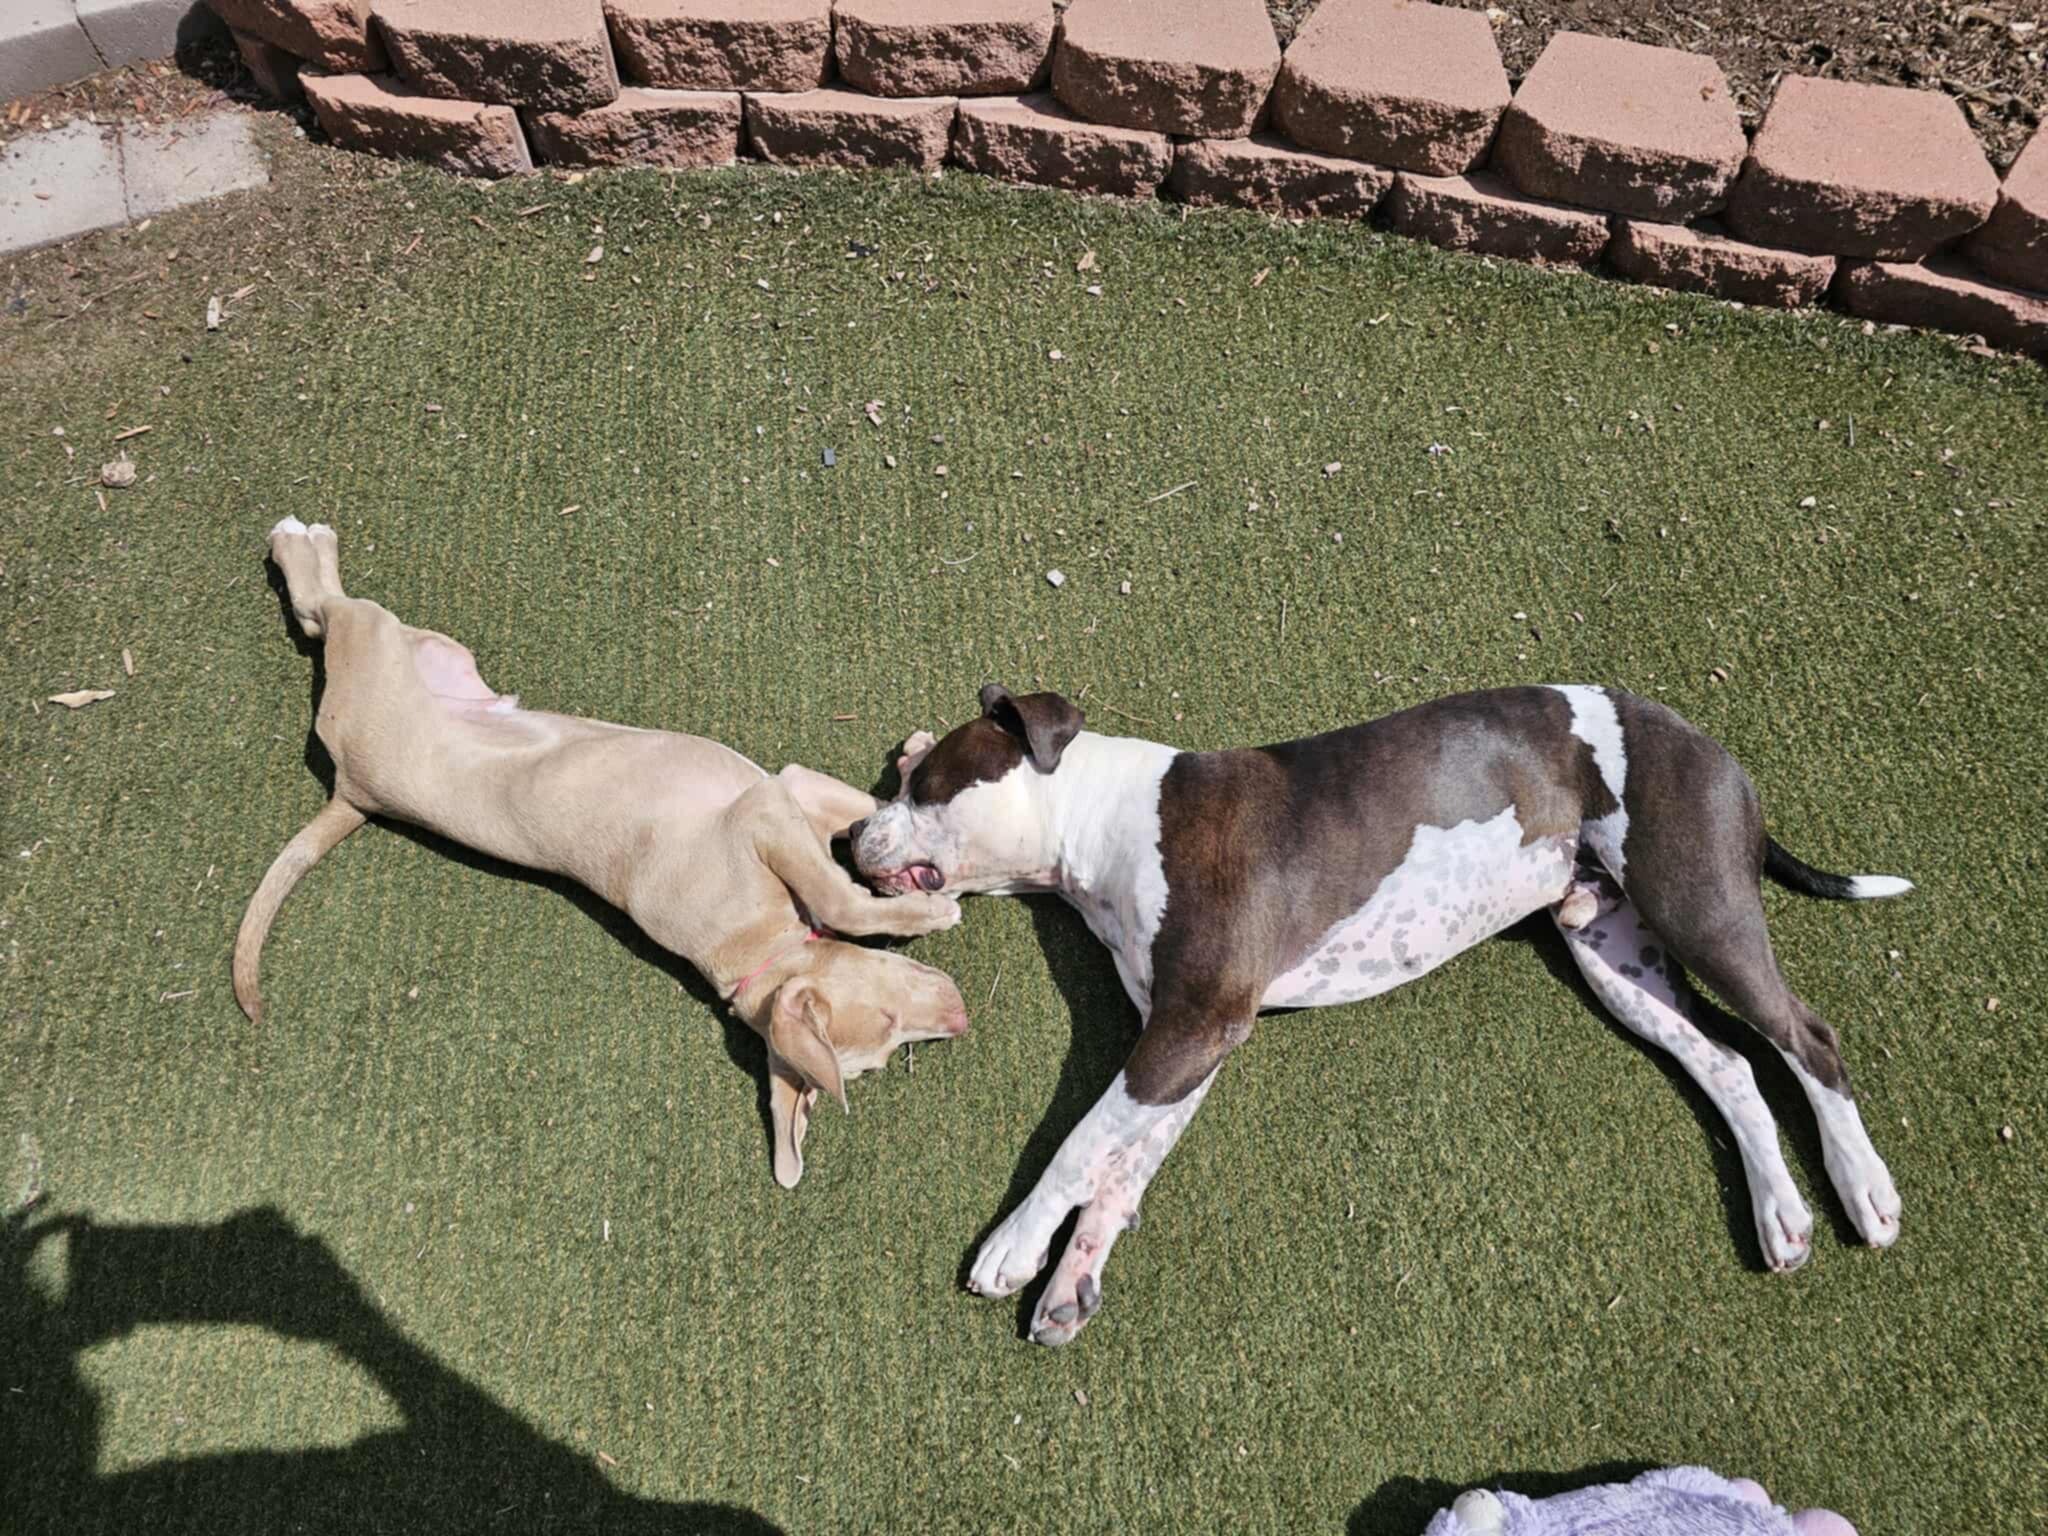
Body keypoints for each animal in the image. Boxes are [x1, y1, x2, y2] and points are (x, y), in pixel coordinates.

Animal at [238, 519, 967, 1187]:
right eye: (886, 1024)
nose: (961, 1017)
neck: (754, 947)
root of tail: (352, 790)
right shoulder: (763, 813)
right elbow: (841, 899)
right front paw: (928, 909)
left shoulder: (789, 792)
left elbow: (862, 813)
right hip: (378, 641)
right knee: (325, 610)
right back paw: (301, 545)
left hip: (434, 652)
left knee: (323, 620)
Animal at [852, 683, 1911, 1345]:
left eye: (918, 783)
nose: (848, 833)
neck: (1106, 819)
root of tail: (1705, 740)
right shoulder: (1190, 1042)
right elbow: (1122, 1167)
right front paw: (1072, 1278)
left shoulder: (1192, 1030)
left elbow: (1079, 1146)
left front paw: (1013, 1245)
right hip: (1617, 951)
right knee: (1730, 1062)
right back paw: (1780, 1216)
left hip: (1699, 904)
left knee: (1808, 1036)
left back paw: (1863, 1190)